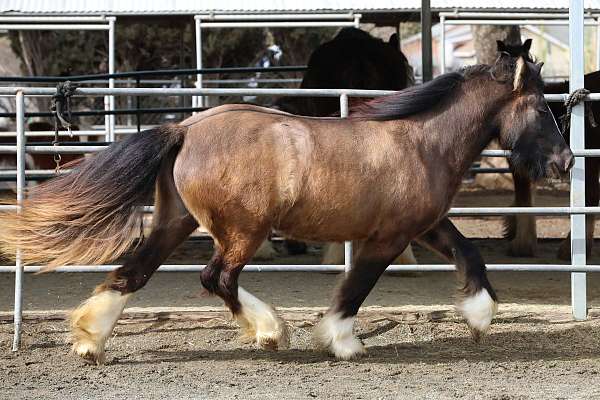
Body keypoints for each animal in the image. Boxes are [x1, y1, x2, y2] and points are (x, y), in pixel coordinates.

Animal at [0, 54, 572, 364]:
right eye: (541, 107)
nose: (565, 160)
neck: (420, 142)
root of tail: (184, 128)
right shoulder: (385, 238)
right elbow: (356, 288)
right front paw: (342, 341)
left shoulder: (424, 225)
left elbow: (470, 254)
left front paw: (479, 316)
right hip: (242, 231)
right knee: (217, 278)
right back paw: (271, 331)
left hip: (174, 222)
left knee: (135, 273)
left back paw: (90, 343)